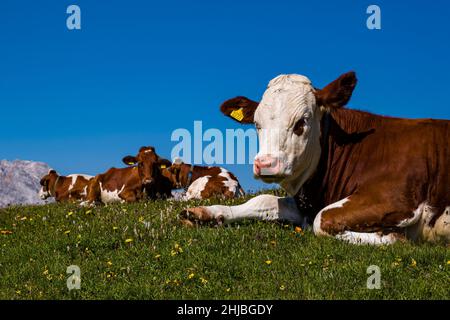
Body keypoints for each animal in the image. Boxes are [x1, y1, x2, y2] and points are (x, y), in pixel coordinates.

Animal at [180, 70, 450, 245]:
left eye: (301, 122)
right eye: (257, 124)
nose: (266, 164)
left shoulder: (398, 199)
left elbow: (322, 220)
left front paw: (392, 236)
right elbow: (263, 201)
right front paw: (204, 213)